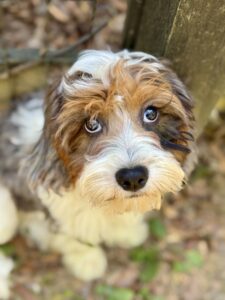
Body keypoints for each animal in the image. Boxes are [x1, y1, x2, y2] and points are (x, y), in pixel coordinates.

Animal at [0, 48, 194, 288]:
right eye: (91, 124)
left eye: (151, 113)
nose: (132, 177)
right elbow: (75, 234)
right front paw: (86, 260)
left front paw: (127, 232)